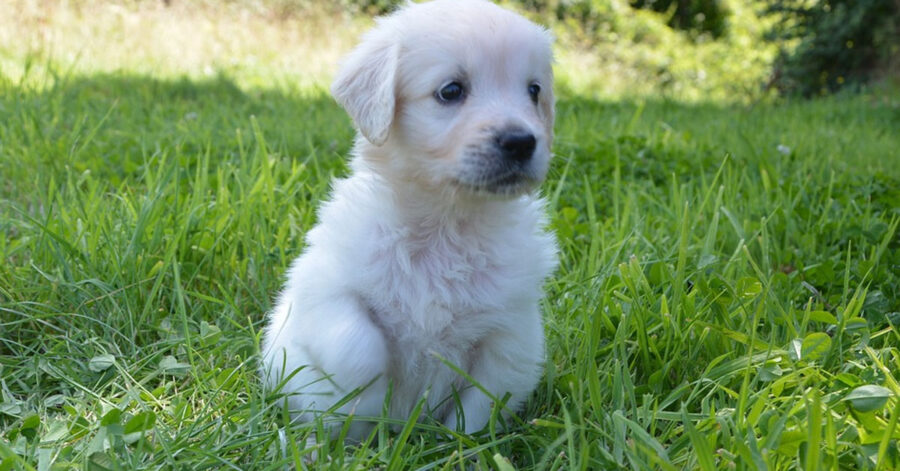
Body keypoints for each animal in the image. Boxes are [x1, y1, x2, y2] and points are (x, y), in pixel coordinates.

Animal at [260, 0, 556, 440]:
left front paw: (461, 444)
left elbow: (485, 399)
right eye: (451, 91)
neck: (446, 225)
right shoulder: (323, 288)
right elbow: (359, 346)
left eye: (534, 91)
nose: (522, 142)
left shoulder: (512, 330)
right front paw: (365, 405)